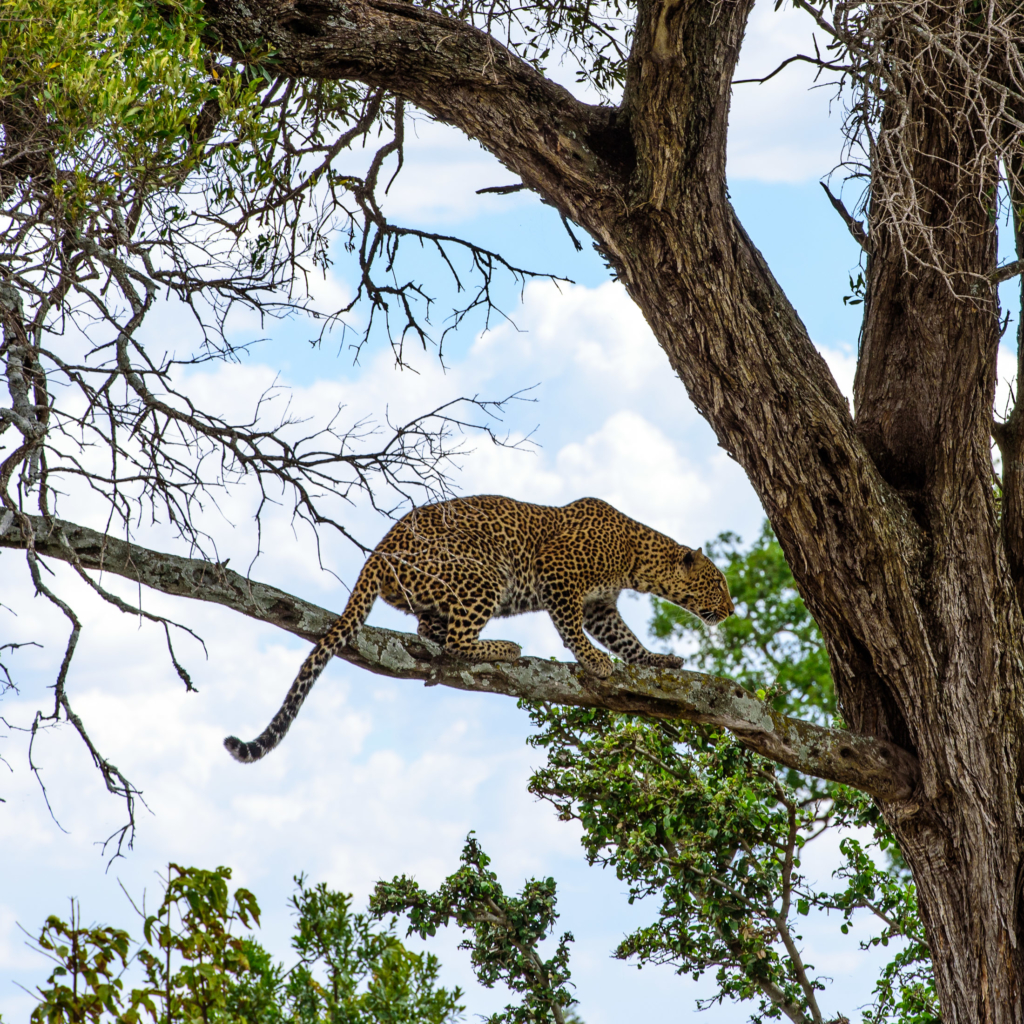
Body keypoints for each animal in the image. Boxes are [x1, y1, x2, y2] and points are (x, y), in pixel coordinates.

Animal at [227, 491, 733, 765]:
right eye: (717, 584)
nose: (730, 610)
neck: (636, 560)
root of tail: (378, 552)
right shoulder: (560, 577)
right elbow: (572, 630)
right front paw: (594, 662)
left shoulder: (601, 608)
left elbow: (628, 641)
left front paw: (658, 659)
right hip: (486, 572)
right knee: (454, 642)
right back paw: (505, 646)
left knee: (432, 632)